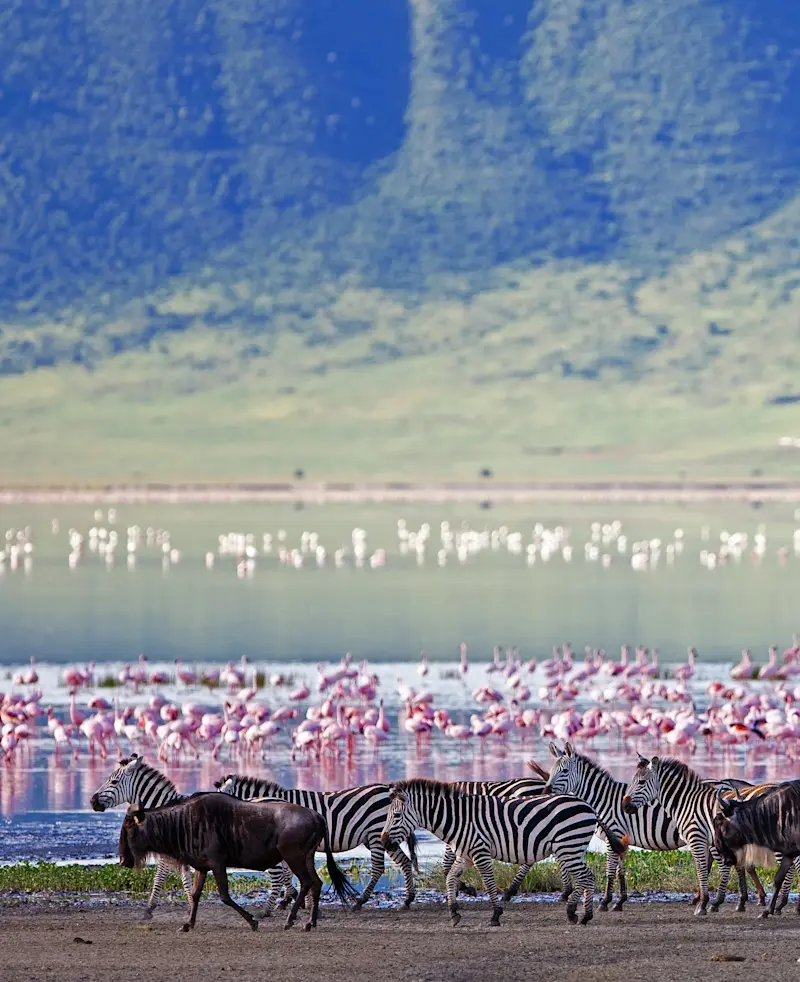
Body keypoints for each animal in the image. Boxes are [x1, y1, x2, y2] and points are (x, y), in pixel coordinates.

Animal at [215, 774, 418, 912]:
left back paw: (360, 901)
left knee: (377, 868)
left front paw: (292, 899)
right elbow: (289, 873)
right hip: (383, 837)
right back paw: (408, 899)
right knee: (404, 861)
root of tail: (388, 788)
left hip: (376, 833)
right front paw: (294, 898)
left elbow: (287, 873)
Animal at [380, 778, 628, 927]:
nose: (383, 842)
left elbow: (489, 883)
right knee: (586, 877)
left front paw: (495, 915)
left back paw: (582, 915)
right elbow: (450, 878)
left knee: (587, 877)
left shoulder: (480, 852)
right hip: (571, 848)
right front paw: (454, 912)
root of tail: (587, 805)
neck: (460, 818)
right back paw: (576, 913)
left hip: (568, 847)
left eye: (396, 816)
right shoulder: (465, 855)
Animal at [622, 755, 798, 915]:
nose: (625, 806)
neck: (686, 803)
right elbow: (713, 867)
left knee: (790, 866)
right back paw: (778, 906)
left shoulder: (696, 839)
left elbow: (701, 868)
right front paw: (710, 902)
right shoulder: (710, 842)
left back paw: (781, 906)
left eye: (641, 782)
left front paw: (703, 904)